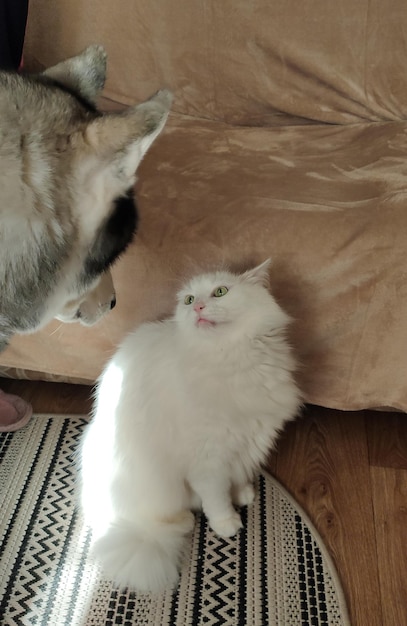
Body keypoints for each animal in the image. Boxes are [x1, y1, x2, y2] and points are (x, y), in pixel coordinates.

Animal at [79, 258, 302, 588]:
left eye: (220, 292)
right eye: (188, 300)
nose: (197, 307)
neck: (230, 357)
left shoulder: (249, 437)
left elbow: (238, 474)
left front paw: (243, 493)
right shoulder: (207, 458)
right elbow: (216, 496)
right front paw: (227, 522)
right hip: (156, 485)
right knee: (155, 516)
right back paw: (184, 521)